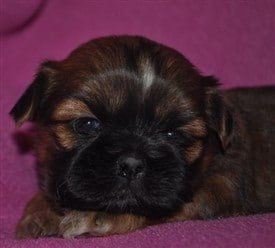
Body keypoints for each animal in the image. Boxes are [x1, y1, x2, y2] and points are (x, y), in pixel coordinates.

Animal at [10, 35, 275, 238]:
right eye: (87, 123)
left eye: (173, 133)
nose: (132, 164)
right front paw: (39, 212)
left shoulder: (217, 191)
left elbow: (155, 208)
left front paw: (96, 215)